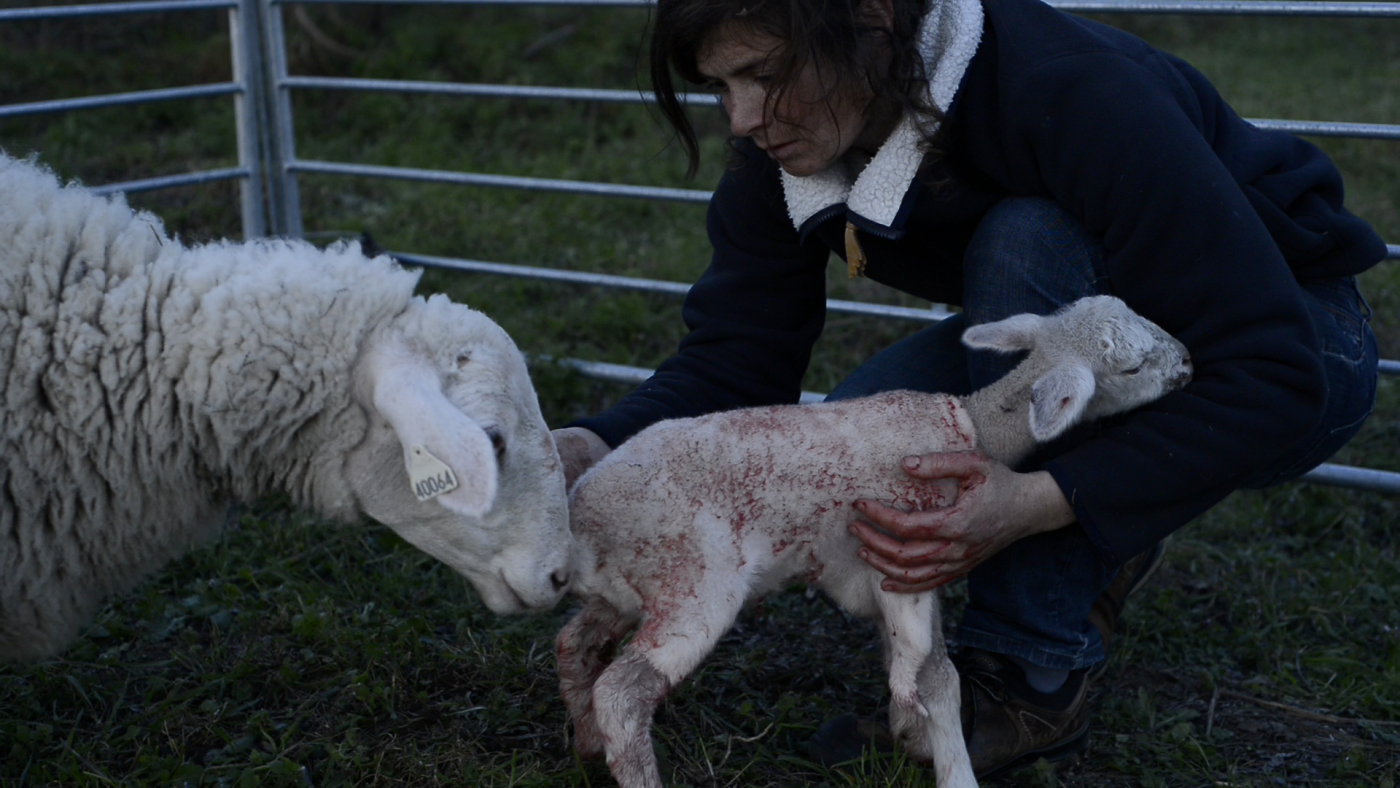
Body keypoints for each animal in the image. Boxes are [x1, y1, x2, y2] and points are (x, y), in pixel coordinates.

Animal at [557, 296, 1192, 788]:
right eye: (1134, 366)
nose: (1188, 361)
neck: (975, 428)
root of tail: (581, 520)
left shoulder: (898, 569)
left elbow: (927, 670)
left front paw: (914, 736)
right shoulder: (907, 555)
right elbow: (933, 675)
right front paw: (949, 765)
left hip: (634, 586)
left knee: (575, 644)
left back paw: (587, 744)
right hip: (694, 582)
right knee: (621, 693)